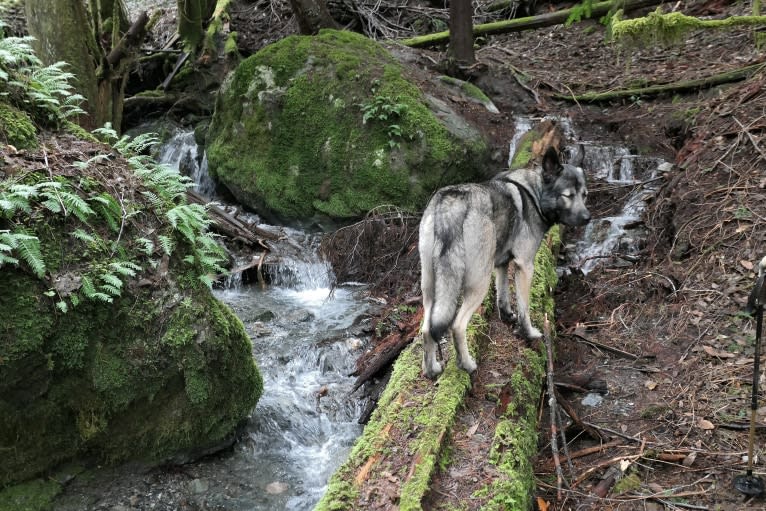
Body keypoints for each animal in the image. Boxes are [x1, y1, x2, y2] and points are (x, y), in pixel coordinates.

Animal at [420, 147, 592, 380]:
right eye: (568, 196)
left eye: (585, 195)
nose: (587, 218)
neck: (535, 193)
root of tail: (450, 204)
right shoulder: (525, 266)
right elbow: (524, 307)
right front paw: (529, 333)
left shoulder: (501, 264)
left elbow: (502, 294)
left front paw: (507, 316)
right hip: (478, 283)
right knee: (457, 325)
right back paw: (467, 364)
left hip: (430, 288)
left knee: (427, 329)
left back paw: (431, 369)